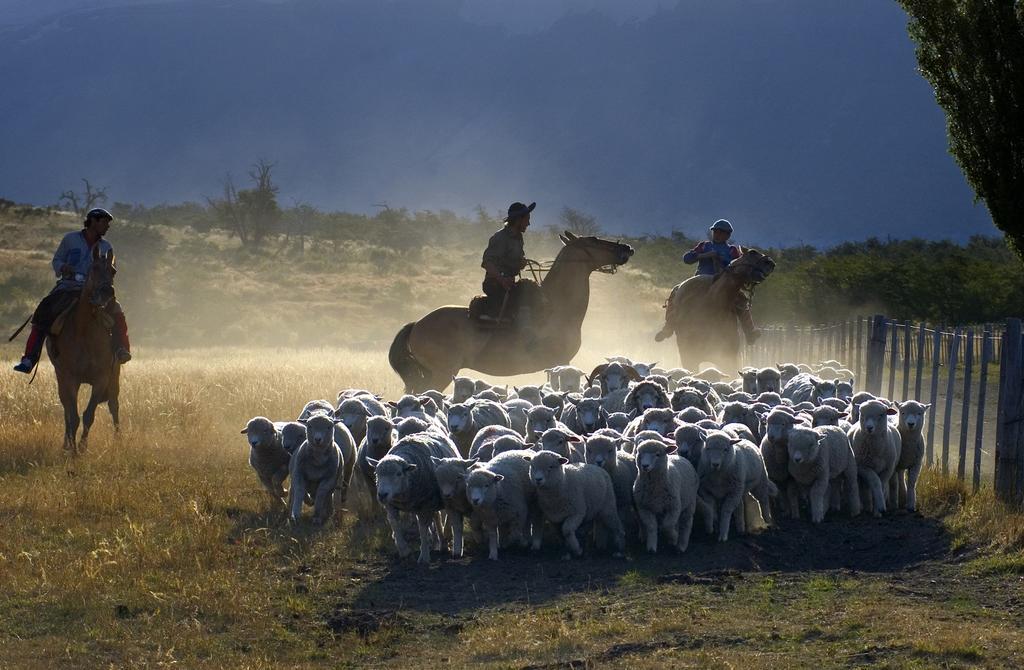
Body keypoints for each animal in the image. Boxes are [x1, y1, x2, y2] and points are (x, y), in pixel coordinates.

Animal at [49, 246, 122, 456]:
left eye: (113, 270)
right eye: (94, 268)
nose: (107, 293)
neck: (84, 332)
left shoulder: (101, 378)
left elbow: (89, 414)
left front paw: (82, 447)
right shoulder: (69, 377)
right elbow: (72, 415)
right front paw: (73, 449)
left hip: (115, 373)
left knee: (114, 404)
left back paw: (119, 440)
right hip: (61, 377)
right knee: (66, 407)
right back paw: (66, 443)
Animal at [389, 233, 630, 395]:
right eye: (594, 240)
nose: (627, 248)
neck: (557, 306)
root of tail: (417, 324)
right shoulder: (562, 362)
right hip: (440, 374)